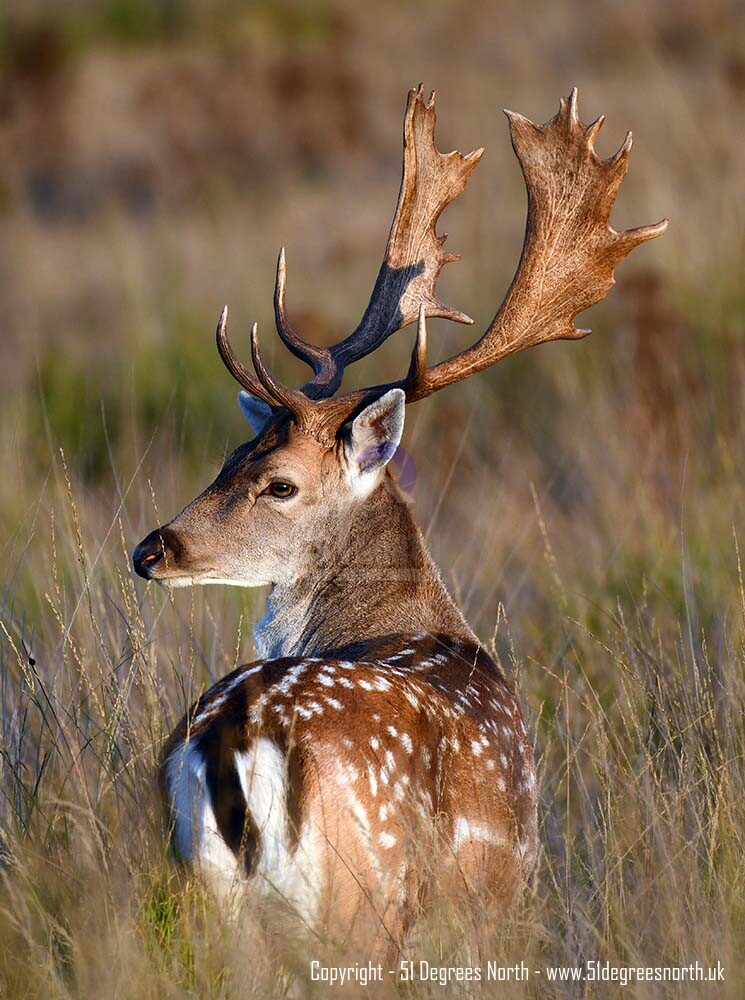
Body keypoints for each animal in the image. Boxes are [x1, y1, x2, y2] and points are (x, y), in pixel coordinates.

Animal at [133, 86, 667, 954]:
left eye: (274, 481)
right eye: (226, 460)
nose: (151, 550)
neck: (411, 619)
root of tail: (234, 733)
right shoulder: (497, 908)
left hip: (209, 891)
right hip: (363, 896)